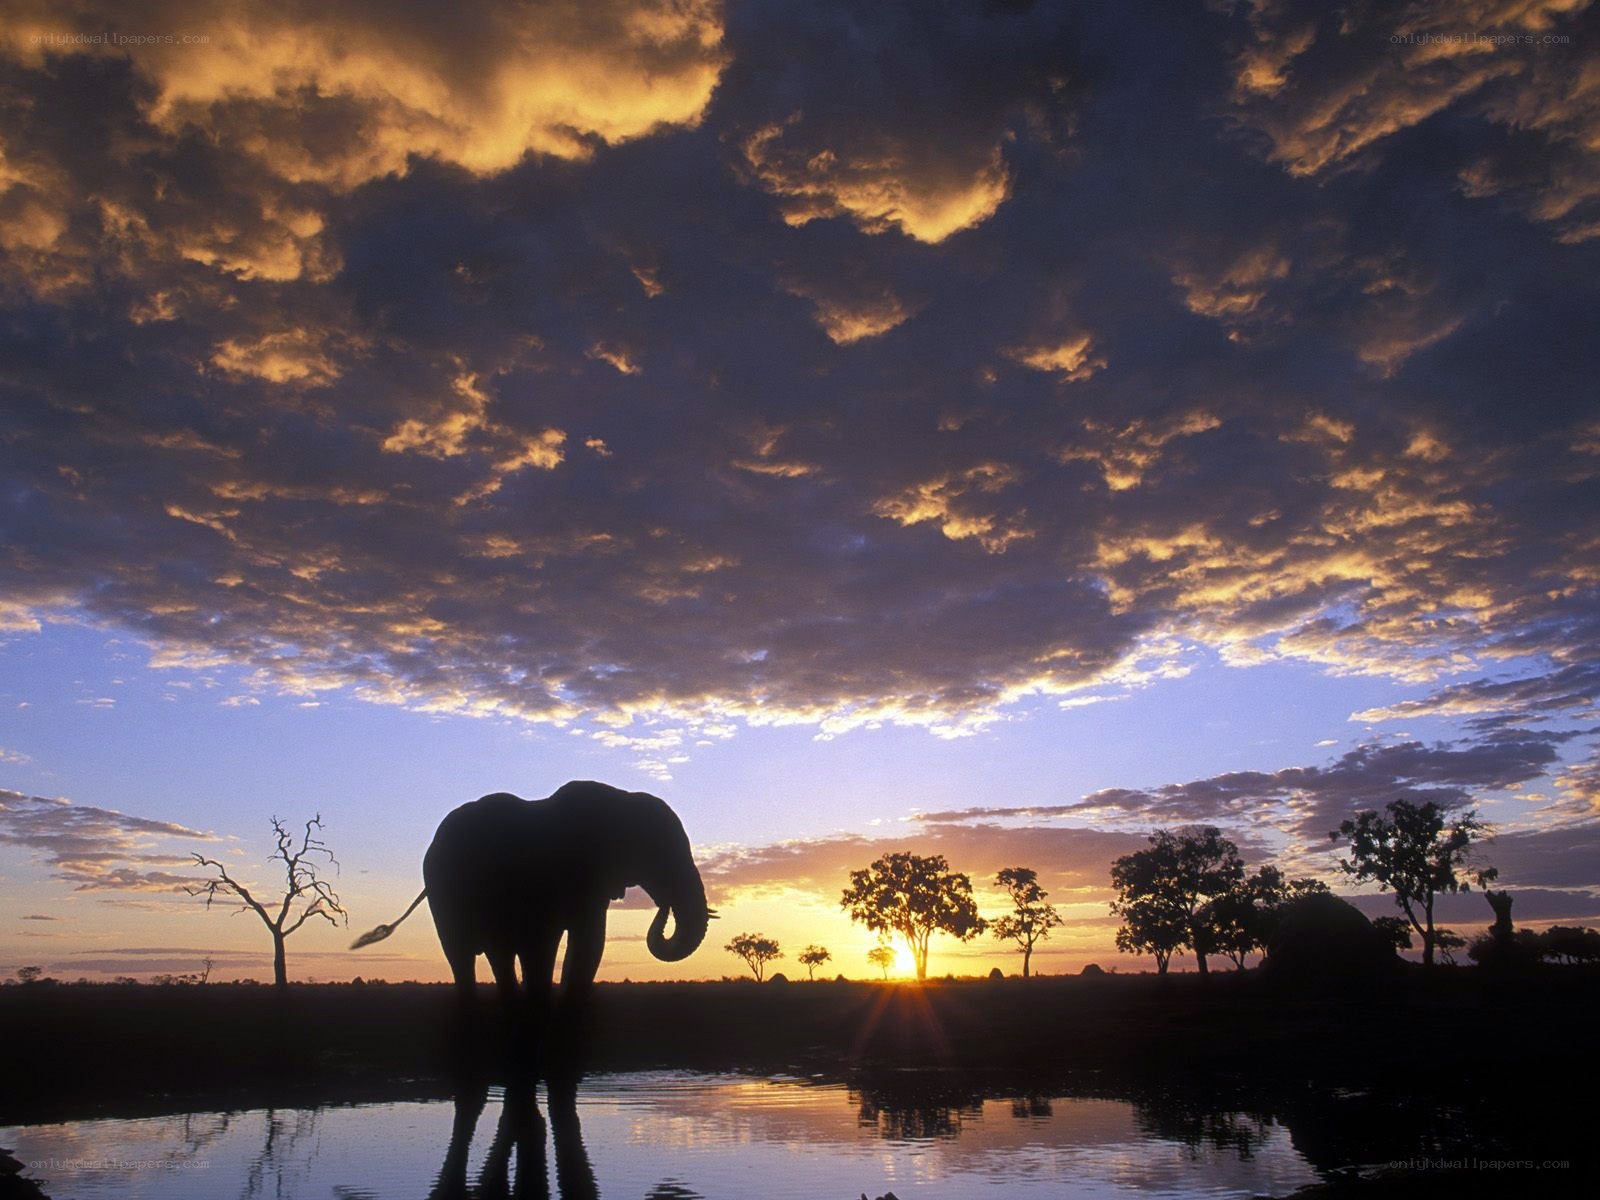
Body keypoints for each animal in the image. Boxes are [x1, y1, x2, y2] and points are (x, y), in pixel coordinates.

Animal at [352, 780, 712, 1089]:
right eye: (658, 852)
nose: (663, 906)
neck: (618, 800)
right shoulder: (549, 877)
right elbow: (544, 948)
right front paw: (542, 1070)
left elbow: (587, 947)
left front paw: (561, 1071)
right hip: (446, 900)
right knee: (464, 961)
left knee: (498, 959)